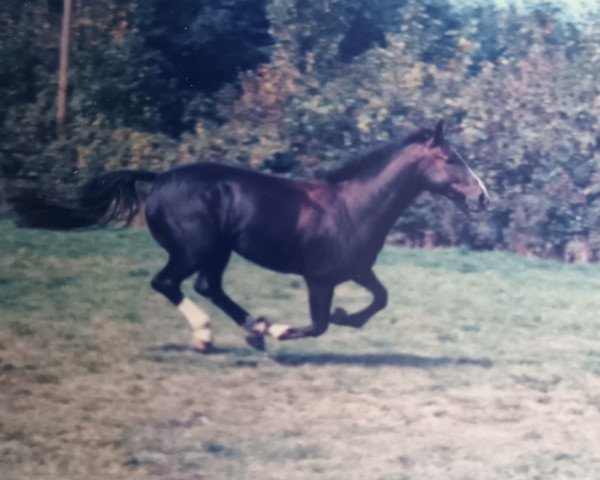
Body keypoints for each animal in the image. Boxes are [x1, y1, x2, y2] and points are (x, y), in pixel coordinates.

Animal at [16, 120, 490, 352]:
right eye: (450, 159)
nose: (483, 196)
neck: (354, 206)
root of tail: (161, 178)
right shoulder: (319, 278)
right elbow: (318, 325)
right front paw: (283, 330)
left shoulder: (356, 271)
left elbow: (379, 300)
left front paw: (345, 317)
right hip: (195, 249)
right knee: (168, 282)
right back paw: (213, 335)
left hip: (218, 251)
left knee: (207, 286)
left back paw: (251, 329)